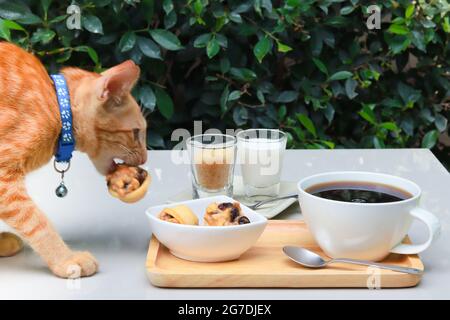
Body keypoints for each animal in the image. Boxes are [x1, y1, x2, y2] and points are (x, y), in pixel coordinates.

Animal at [0, 42, 147, 278]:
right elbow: (35, 220)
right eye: (135, 132)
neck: (57, 106)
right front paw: (65, 259)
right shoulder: (4, 176)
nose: (145, 158)